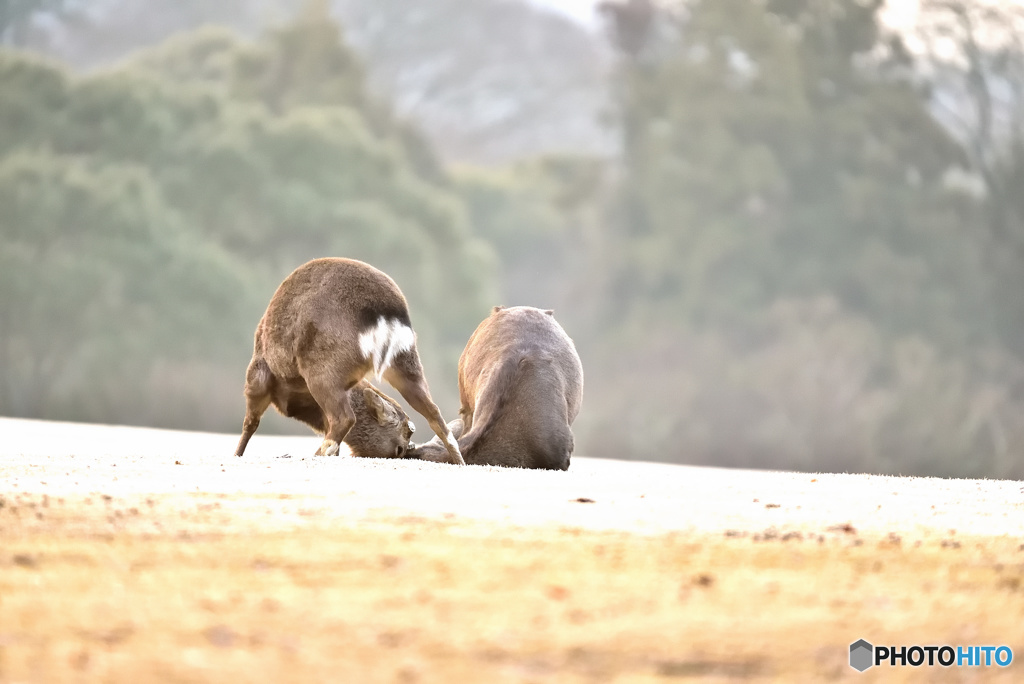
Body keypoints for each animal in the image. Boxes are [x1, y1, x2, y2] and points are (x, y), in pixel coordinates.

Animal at [234, 255, 462, 464]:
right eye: (401, 443)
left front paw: (237, 454)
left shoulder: (258, 372)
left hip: (323, 369)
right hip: (406, 362)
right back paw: (459, 460)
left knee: (345, 417)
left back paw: (316, 455)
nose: (405, 450)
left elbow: (250, 421)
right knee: (434, 413)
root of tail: (386, 315)